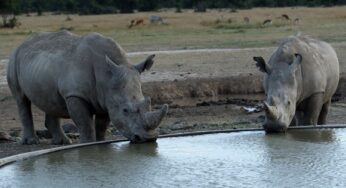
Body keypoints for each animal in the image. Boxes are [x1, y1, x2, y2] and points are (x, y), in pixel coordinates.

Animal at [7, 31, 170, 145]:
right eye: (125, 110)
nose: (148, 138)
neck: (106, 76)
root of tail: (22, 43)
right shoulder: (75, 94)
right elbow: (85, 123)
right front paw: (86, 144)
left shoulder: (106, 99)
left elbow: (102, 124)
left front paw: (101, 143)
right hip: (14, 58)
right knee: (21, 99)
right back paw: (32, 142)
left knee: (50, 100)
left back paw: (62, 142)